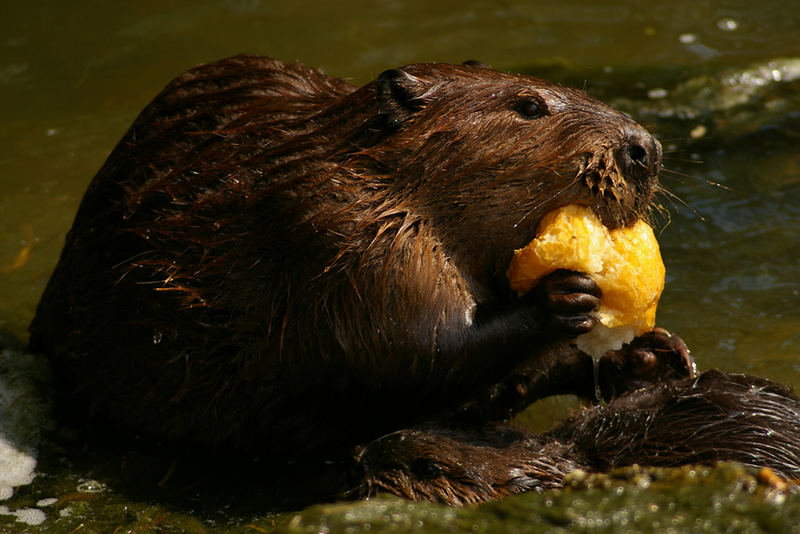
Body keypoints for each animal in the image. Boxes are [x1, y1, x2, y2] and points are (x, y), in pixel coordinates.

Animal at [29, 54, 664, 458]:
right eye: (530, 106)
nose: (646, 149)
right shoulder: (342, 235)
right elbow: (413, 347)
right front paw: (564, 295)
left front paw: (651, 354)